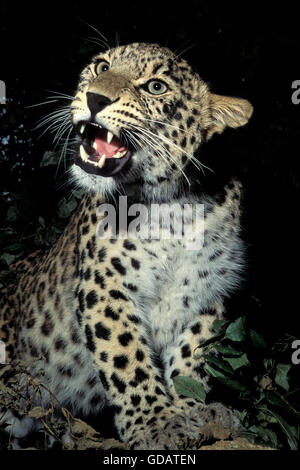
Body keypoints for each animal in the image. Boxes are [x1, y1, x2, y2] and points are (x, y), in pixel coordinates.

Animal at [0, 42, 253, 450]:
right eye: (102, 67)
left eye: (155, 86)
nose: (95, 97)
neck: (172, 211)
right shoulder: (104, 285)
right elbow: (125, 354)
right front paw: (155, 423)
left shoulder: (208, 291)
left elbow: (193, 356)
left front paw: (196, 410)